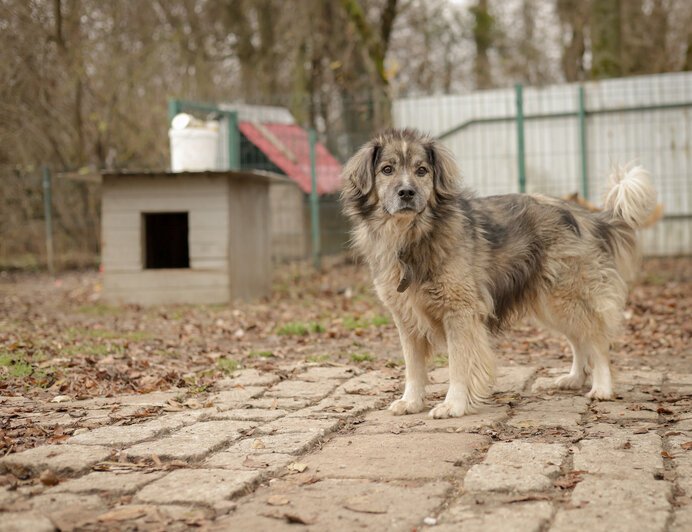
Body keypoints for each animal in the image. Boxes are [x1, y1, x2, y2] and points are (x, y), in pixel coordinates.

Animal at [344, 129, 656, 420]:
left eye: (422, 171)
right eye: (387, 169)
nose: (407, 193)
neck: (412, 236)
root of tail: (587, 216)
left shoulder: (460, 312)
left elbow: (458, 365)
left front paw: (453, 405)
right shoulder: (405, 317)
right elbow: (413, 367)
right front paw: (411, 401)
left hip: (566, 296)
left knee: (596, 339)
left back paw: (602, 387)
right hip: (550, 304)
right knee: (579, 339)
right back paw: (574, 378)